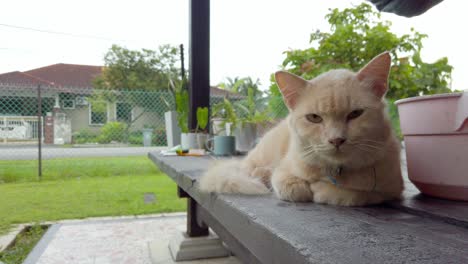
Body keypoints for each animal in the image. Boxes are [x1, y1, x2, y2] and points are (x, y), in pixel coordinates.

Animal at [199, 52, 404, 206]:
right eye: (314, 118)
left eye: (355, 114)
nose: (336, 140)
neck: (334, 171)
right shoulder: (285, 169)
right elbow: (287, 183)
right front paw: (303, 187)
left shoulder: (391, 190)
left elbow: (358, 195)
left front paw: (324, 190)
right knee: (247, 169)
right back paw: (260, 173)